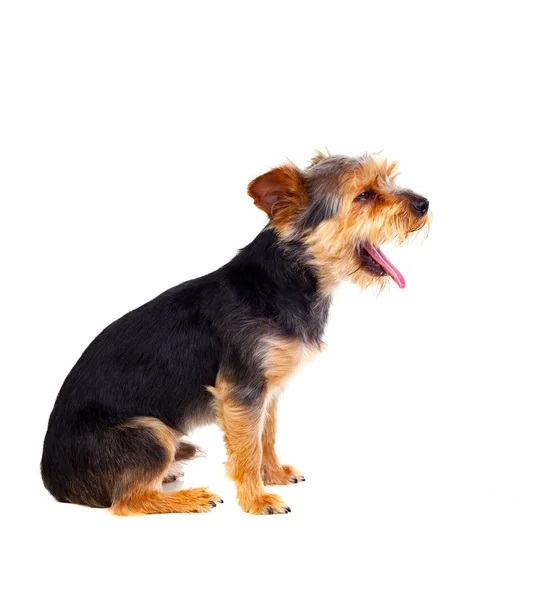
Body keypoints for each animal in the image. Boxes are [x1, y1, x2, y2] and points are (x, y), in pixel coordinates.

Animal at [40, 152, 428, 512]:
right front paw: (257, 499)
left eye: (388, 180)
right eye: (365, 195)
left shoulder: (268, 390)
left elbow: (266, 437)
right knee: (128, 501)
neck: (288, 281)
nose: (423, 203)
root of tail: (54, 483)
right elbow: (248, 449)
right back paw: (189, 498)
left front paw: (274, 475)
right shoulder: (241, 391)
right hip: (150, 433)